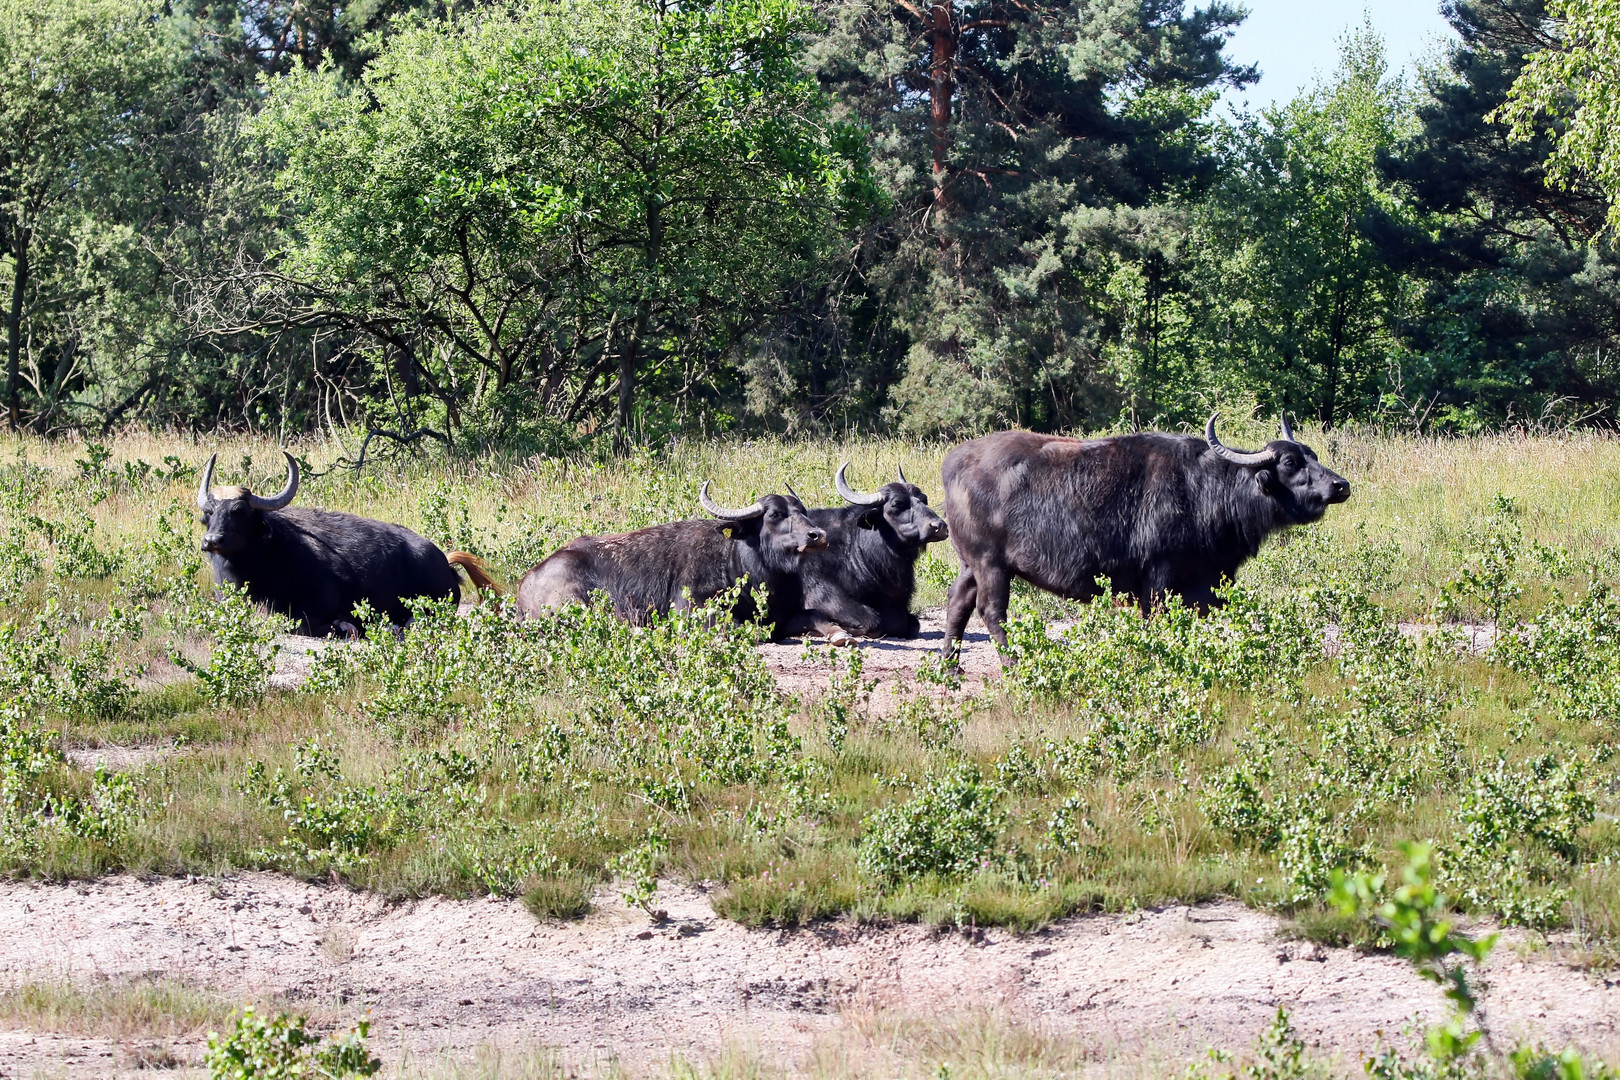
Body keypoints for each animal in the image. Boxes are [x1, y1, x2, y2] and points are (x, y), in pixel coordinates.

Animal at [195, 453, 489, 637]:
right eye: (209, 512)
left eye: (239, 511)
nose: (212, 541)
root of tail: (443, 560)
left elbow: (302, 625)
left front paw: (344, 627)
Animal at [515, 482, 829, 634]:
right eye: (775, 514)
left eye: (802, 511)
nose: (817, 535)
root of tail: (525, 585)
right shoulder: (689, 611)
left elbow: (817, 616)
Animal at [774, 463, 946, 641]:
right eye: (896, 504)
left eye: (924, 499)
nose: (939, 526)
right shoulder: (821, 596)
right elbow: (873, 622)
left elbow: (913, 624)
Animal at [946, 417, 1347, 660]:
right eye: (1290, 463)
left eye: (1312, 455)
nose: (1340, 485)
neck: (1205, 491)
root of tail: (954, 462)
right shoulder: (1159, 579)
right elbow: (1156, 621)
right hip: (991, 564)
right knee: (991, 612)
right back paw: (1013, 664)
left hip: (970, 564)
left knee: (958, 603)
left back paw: (952, 666)